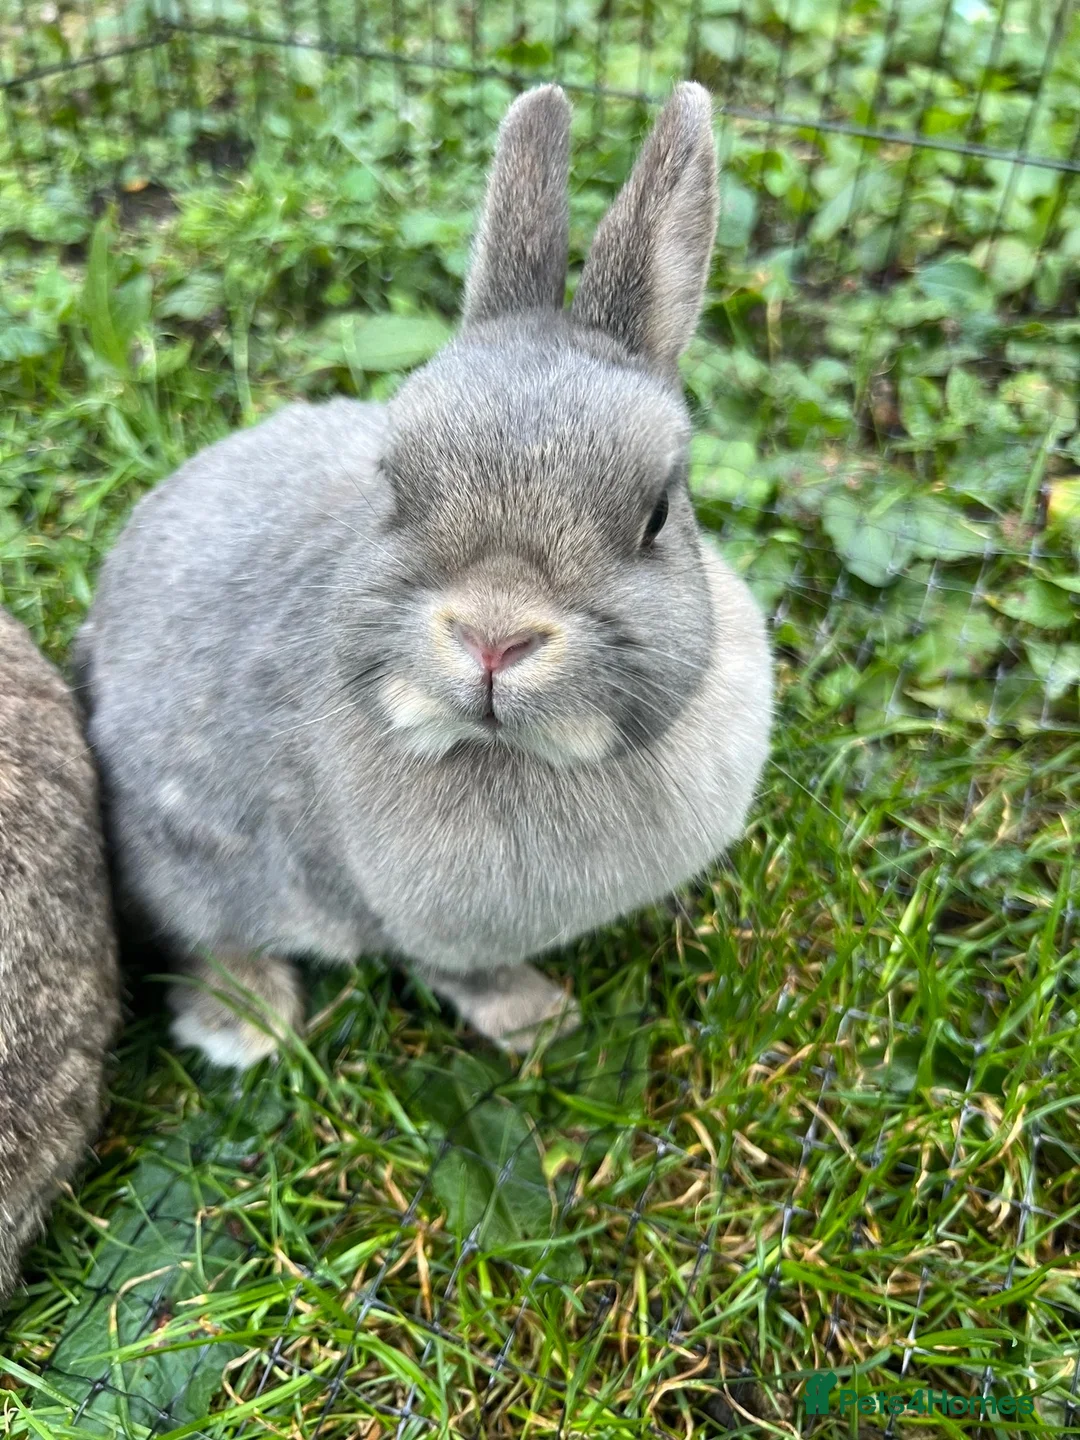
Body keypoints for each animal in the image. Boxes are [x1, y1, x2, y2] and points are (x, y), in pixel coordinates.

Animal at [76, 82, 773, 1069]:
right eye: (395, 484)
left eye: (657, 515)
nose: (493, 639)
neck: (513, 750)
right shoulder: (410, 919)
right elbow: (458, 973)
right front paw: (538, 1021)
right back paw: (248, 1021)